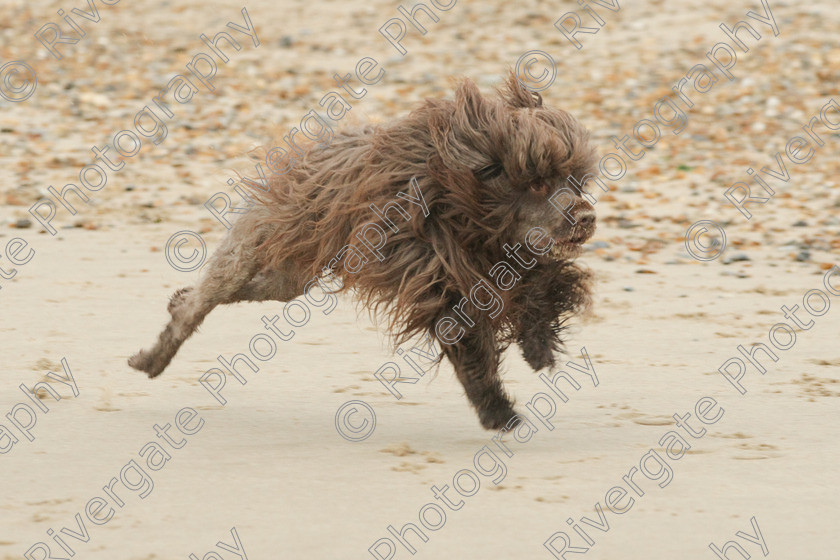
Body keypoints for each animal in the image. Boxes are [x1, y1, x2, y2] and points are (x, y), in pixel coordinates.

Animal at [128, 73, 596, 428]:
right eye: (537, 182)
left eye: (574, 181)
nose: (587, 217)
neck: (467, 212)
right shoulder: (435, 279)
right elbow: (469, 344)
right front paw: (496, 410)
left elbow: (545, 285)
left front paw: (537, 343)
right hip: (258, 241)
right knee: (205, 301)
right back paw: (155, 353)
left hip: (290, 274)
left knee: (249, 291)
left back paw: (176, 303)